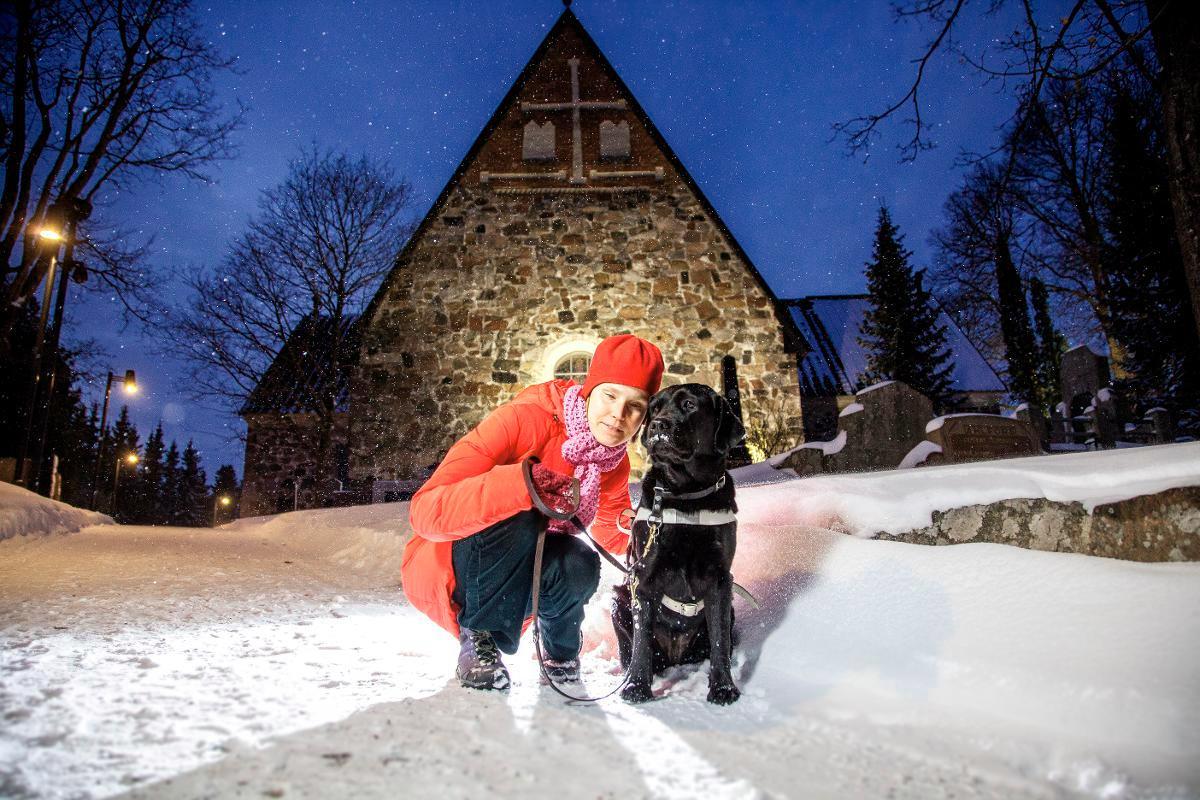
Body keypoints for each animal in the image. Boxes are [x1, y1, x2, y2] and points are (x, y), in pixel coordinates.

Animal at [614, 383, 744, 705]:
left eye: (689, 405)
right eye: (655, 409)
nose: (658, 426)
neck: (687, 494)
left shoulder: (720, 579)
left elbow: (720, 642)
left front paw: (723, 688)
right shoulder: (643, 578)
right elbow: (642, 644)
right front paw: (637, 687)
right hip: (619, 601)